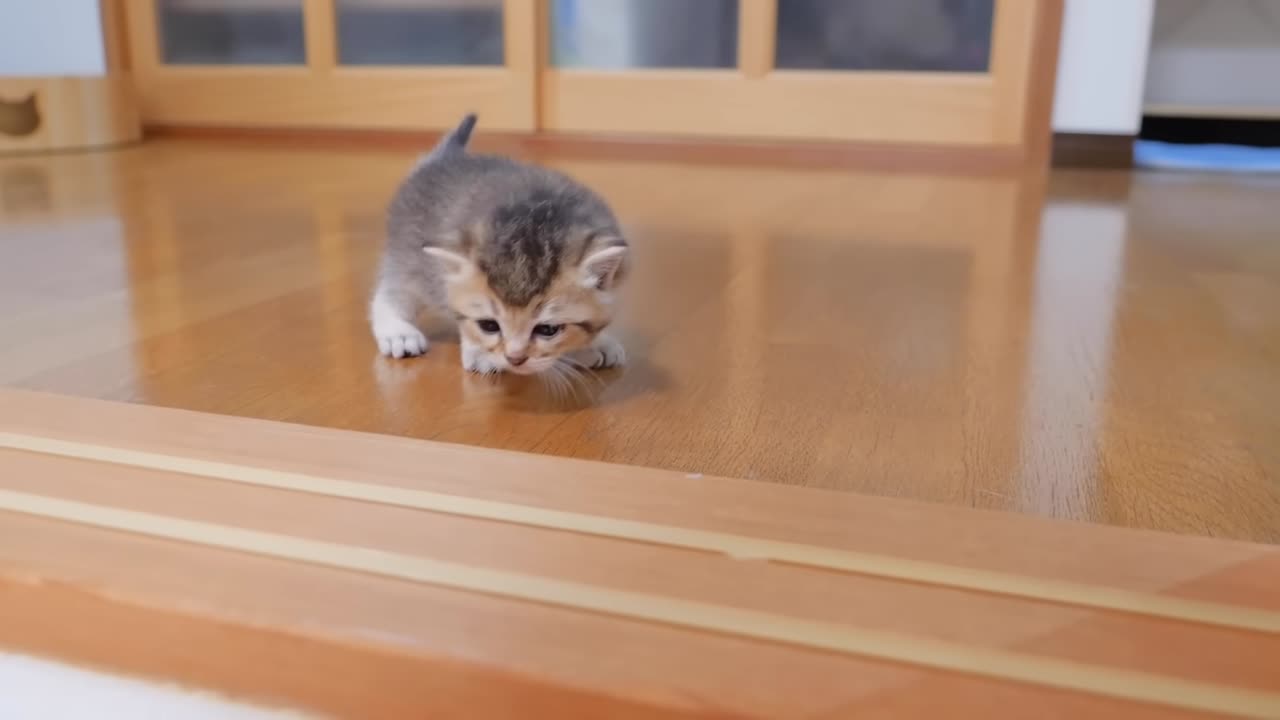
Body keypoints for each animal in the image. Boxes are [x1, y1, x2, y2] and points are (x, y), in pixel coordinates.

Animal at [368, 113, 627, 376]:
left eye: (547, 330)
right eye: (489, 325)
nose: (514, 359)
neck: (538, 218)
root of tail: (442, 158)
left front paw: (595, 343)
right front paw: (480, 352)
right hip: (409, 256)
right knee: (393, 290)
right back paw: (398, 331)